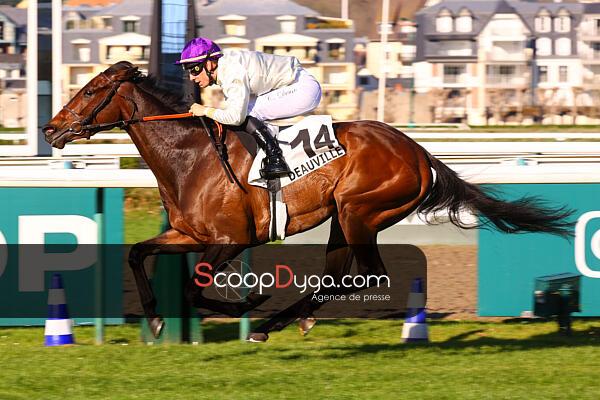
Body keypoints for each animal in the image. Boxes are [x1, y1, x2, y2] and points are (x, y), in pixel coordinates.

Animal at [43, 61, 573, 342]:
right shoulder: (186, 233)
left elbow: (195, 290)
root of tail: (419, 152)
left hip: (359, 211)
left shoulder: (231, 240)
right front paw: (153, 316)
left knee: (367, 275)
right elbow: (137, 253)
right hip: (343, 218)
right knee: (340, 275)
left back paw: (271, 320)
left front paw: (249, 302)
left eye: (92, 90)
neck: (191, 156)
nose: (50, 129)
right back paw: (290, 318)